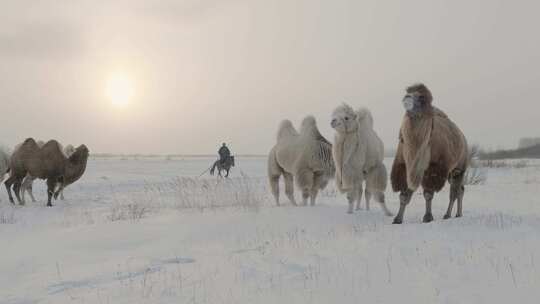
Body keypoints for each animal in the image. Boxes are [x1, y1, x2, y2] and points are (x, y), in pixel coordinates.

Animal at [388, 84, 468, 224]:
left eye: (421, 97)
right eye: (409, 92)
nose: (407, 97)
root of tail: (464, 139)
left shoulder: (434, 167)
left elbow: (428, 194)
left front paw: (428, 217)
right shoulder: (406, 166)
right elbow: (404, 195)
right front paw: (397, 219)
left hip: (459, 169)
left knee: (454, 192)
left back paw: (448, 215)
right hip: (451, 173)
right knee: (460, 190)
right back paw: (458, 214)